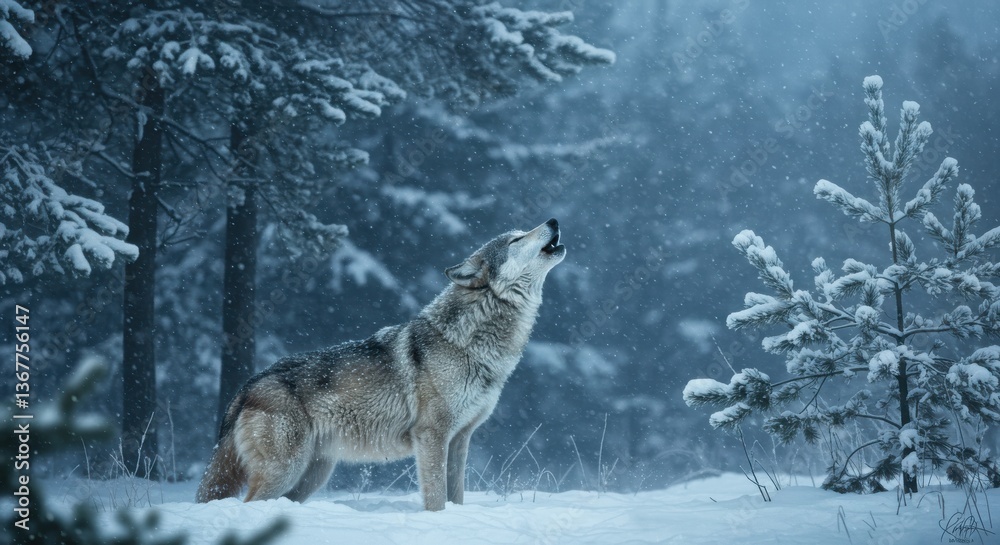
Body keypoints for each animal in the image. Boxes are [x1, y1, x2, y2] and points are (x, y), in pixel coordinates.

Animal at [196, 219, 566, 511]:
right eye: (516, 240)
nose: (553, 220)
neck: (468, 341)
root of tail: (247, 385)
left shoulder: (460, 438)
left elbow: (456, 495)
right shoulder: (432, 435)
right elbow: (436, 497)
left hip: (312, 475)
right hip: (286, 470)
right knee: (248, 503)